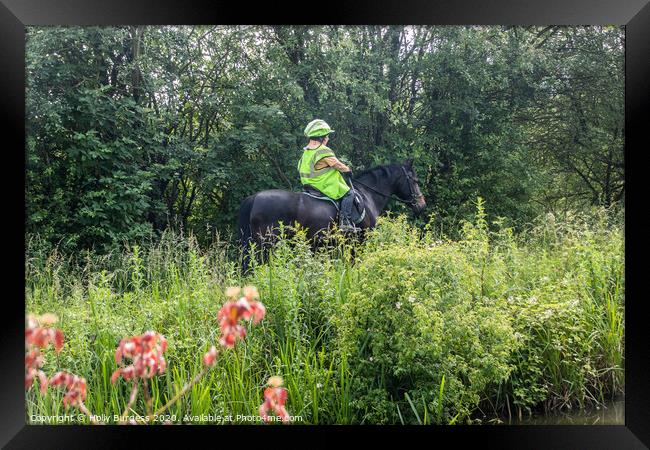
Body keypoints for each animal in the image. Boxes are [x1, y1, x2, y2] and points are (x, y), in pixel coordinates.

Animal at [235, 159, 422, 270]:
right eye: (414, 180)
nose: (422, 204)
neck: (367, 196)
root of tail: (254, 198)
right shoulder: (359, 241)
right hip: (265, 244)